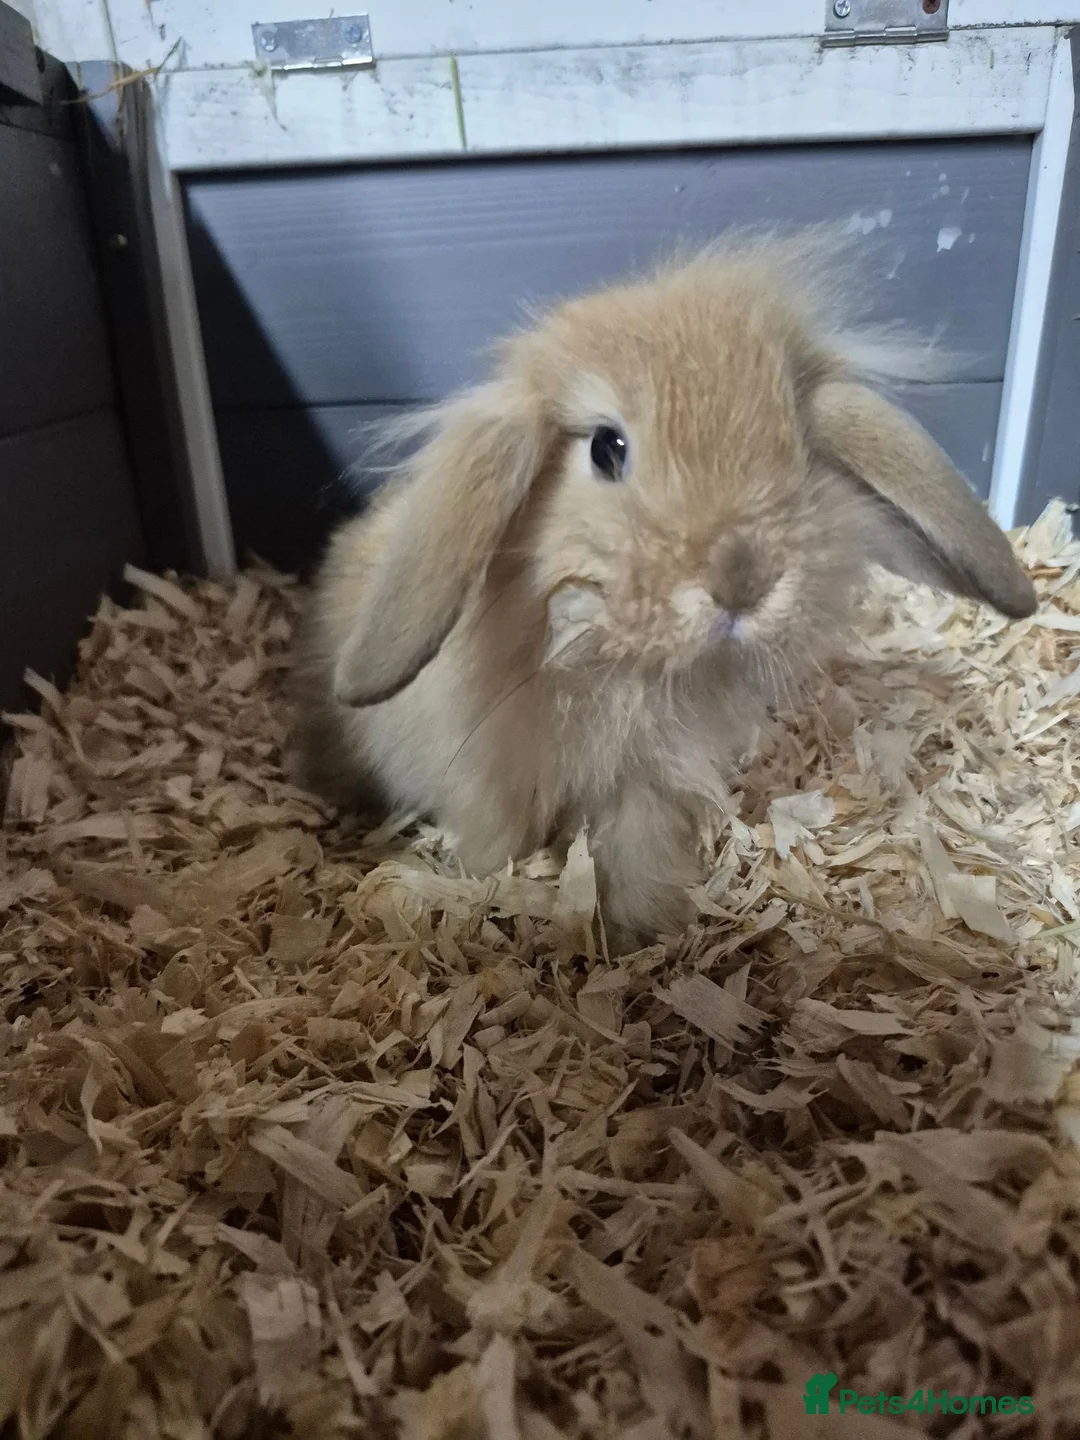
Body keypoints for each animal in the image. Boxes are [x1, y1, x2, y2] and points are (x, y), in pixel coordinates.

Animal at [291, 232, 1036, 949]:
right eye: (607, 448)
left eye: (794, 443)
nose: (743, 581)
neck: (621, 669)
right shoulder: (484, 779)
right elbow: (497, 843)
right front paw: (494, 891)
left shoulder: (645, 781)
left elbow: (636, 850)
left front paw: (640, 933)